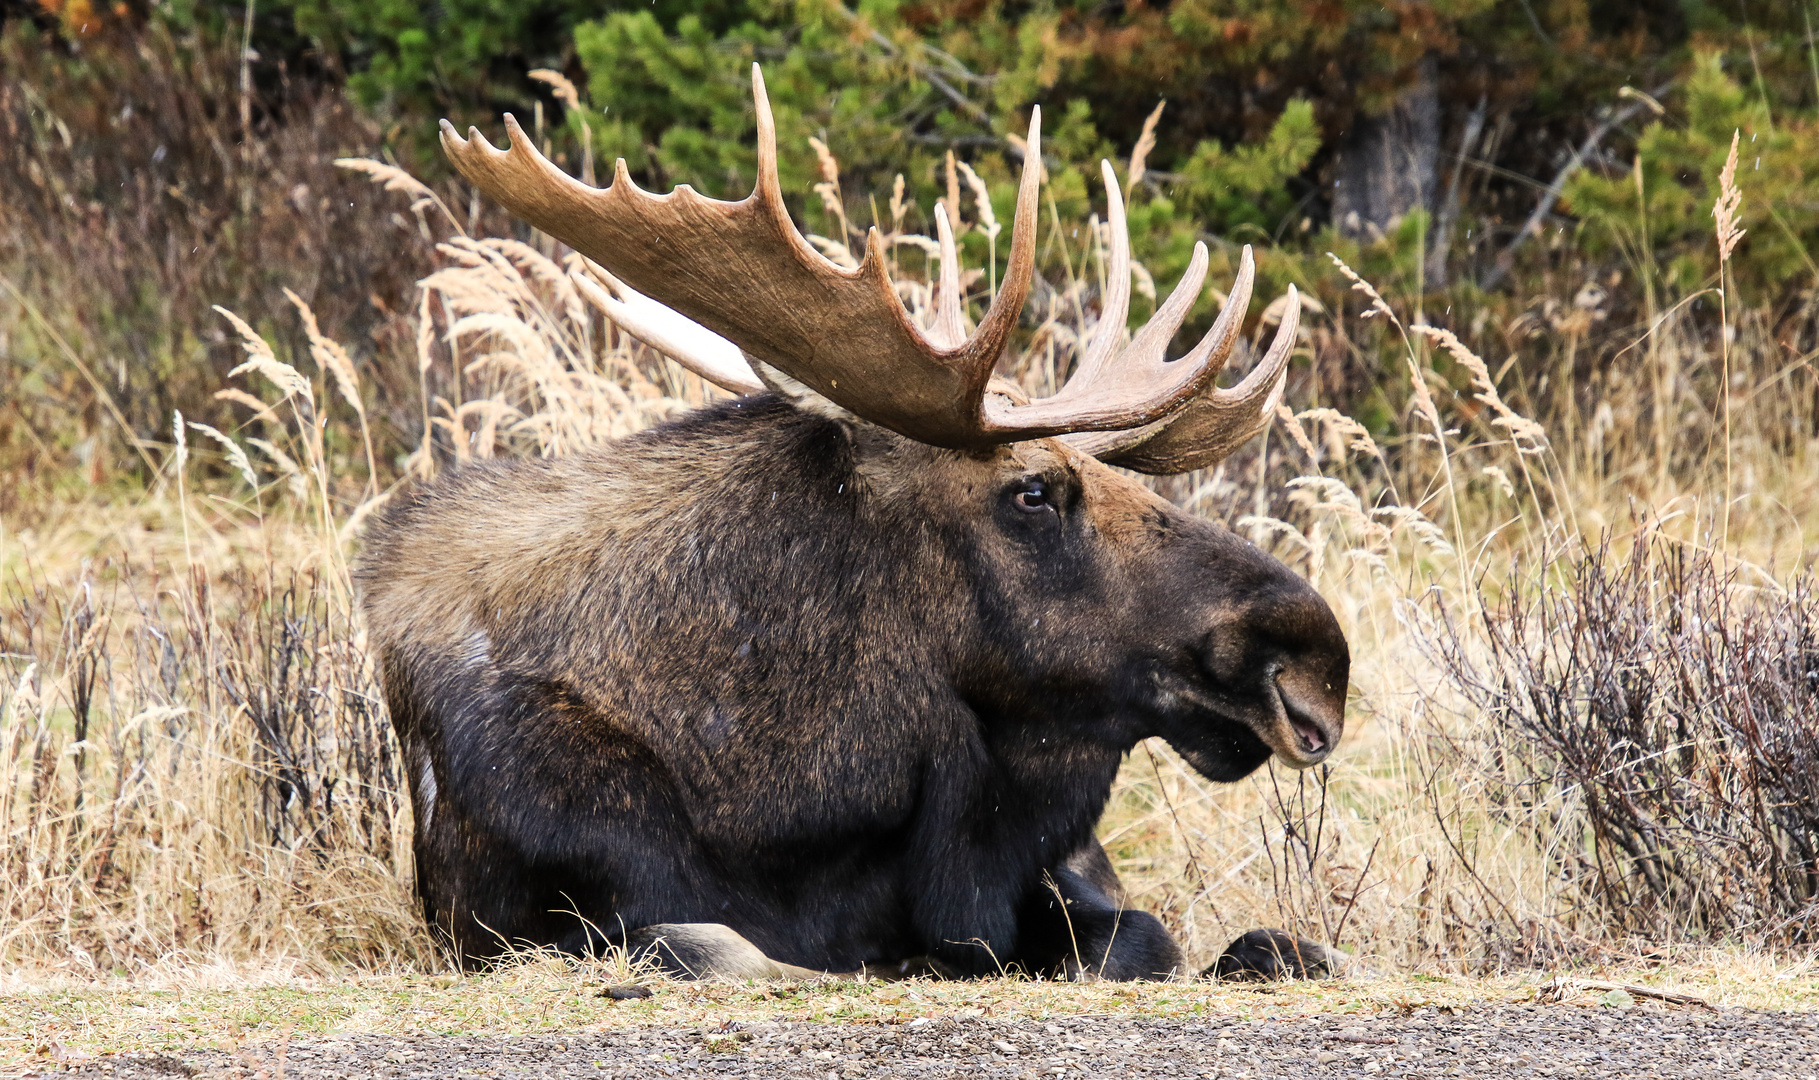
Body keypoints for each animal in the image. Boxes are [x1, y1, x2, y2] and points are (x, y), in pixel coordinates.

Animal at [358, 65, 1353, 974]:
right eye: (1033, 490)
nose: (1315, 663)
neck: (791, 800)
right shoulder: (540, 921)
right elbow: (723, 946)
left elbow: (1147, 933)